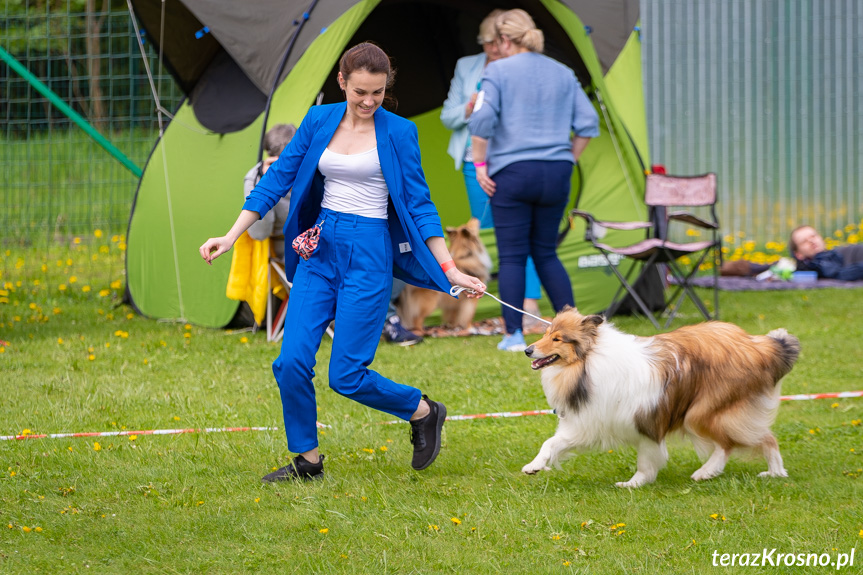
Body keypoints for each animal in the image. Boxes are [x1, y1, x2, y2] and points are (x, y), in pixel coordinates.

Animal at [524, 308, 800, 488]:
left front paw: (634, 483)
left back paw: (707, 472)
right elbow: (551, 443)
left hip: (701, 412)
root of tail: (757, 345)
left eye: (557, 338)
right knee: (762, 437)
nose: (527, 350)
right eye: (546, 333)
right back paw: (774, 473)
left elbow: (646, 459)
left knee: (732, 443)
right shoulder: (588, 422)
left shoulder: (646, 422)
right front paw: (534, 466)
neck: (588, 363)